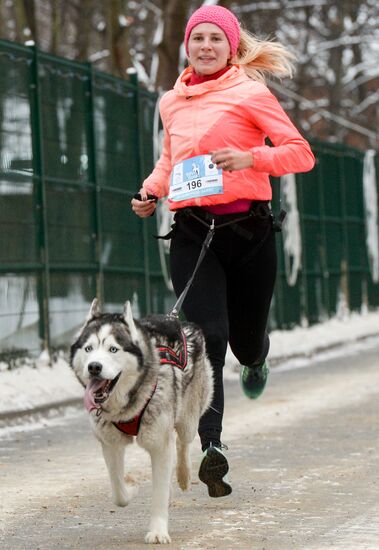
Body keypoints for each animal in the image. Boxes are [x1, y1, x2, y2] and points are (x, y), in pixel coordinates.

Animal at [70, 302, 214, 548]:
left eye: (113, 349)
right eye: (89, 349)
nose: (94, 367)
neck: (128, 406)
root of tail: (181, 321)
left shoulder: (159, 446)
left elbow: (159, 493)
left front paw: (157, 532)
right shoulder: (110, 444)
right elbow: (118, 492)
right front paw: (131, 485)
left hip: (189, 420)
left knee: (182, 442)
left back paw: (183, 475)